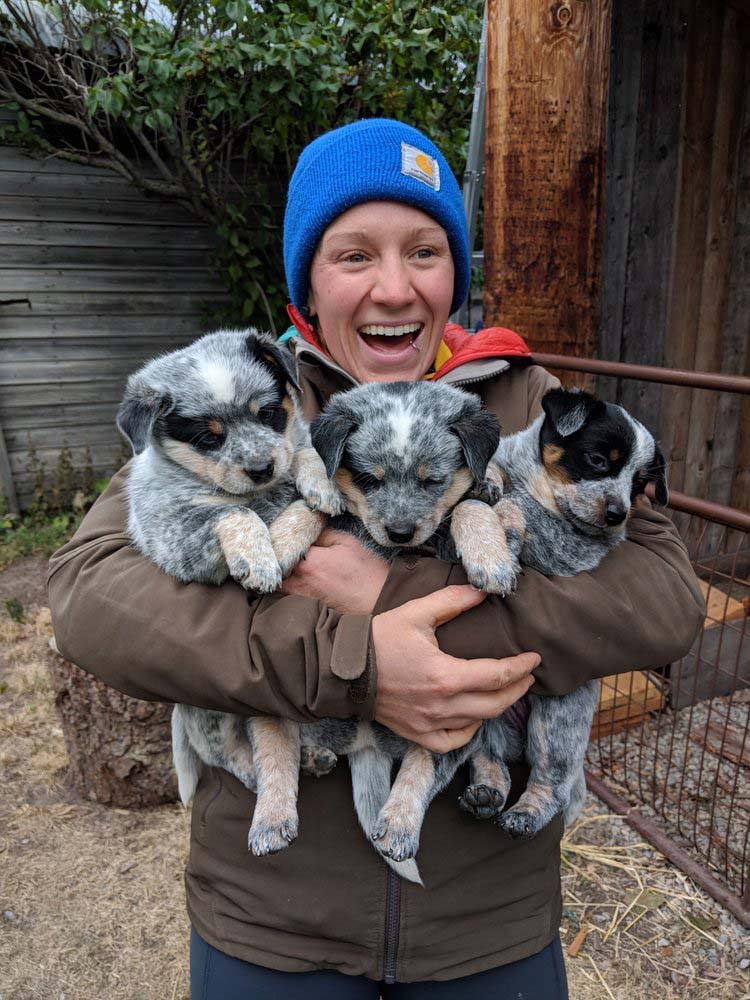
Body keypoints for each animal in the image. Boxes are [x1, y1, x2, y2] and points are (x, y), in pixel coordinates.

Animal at [118, 330, 344, 860]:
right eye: (208, 437)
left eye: (269, 413)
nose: (261, 468)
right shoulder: (176, 540)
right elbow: (230, 513)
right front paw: (258, 558)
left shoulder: (289, 448)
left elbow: (303, 454)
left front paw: (319, 485)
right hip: (214, 714)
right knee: (225, 754)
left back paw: (312, 757)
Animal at [462, 386, 672, 840]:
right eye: (597, 459)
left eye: (639, 484)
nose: (618, 515)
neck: (541, 488)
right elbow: (499, 471)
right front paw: (489, 481)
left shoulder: (574, 552)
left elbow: (521, 509)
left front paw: (509, 524)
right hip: (479, 719)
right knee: (490, 761)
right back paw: (486, 793)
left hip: (557, 720)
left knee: (551, 784)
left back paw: (526, 813)